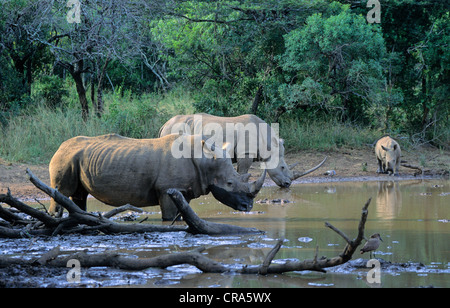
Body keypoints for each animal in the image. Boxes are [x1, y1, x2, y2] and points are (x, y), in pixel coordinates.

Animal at [49, 134, 266, 220]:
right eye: (229, 183)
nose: (248, 207)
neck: (205, 160)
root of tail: (59, 147)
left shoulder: (184, 189)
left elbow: (181, 214)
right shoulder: (165, 189)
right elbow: (169, 215)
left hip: (76, 158)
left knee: (79, 195)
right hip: (65, 158)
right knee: (62, 192)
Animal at [159, 112, 326, 186]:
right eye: (283, 167)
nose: (288, 185)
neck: (268, 143)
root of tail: (164, 124)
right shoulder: (245, 152)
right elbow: (243, 171)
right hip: (175, 130)